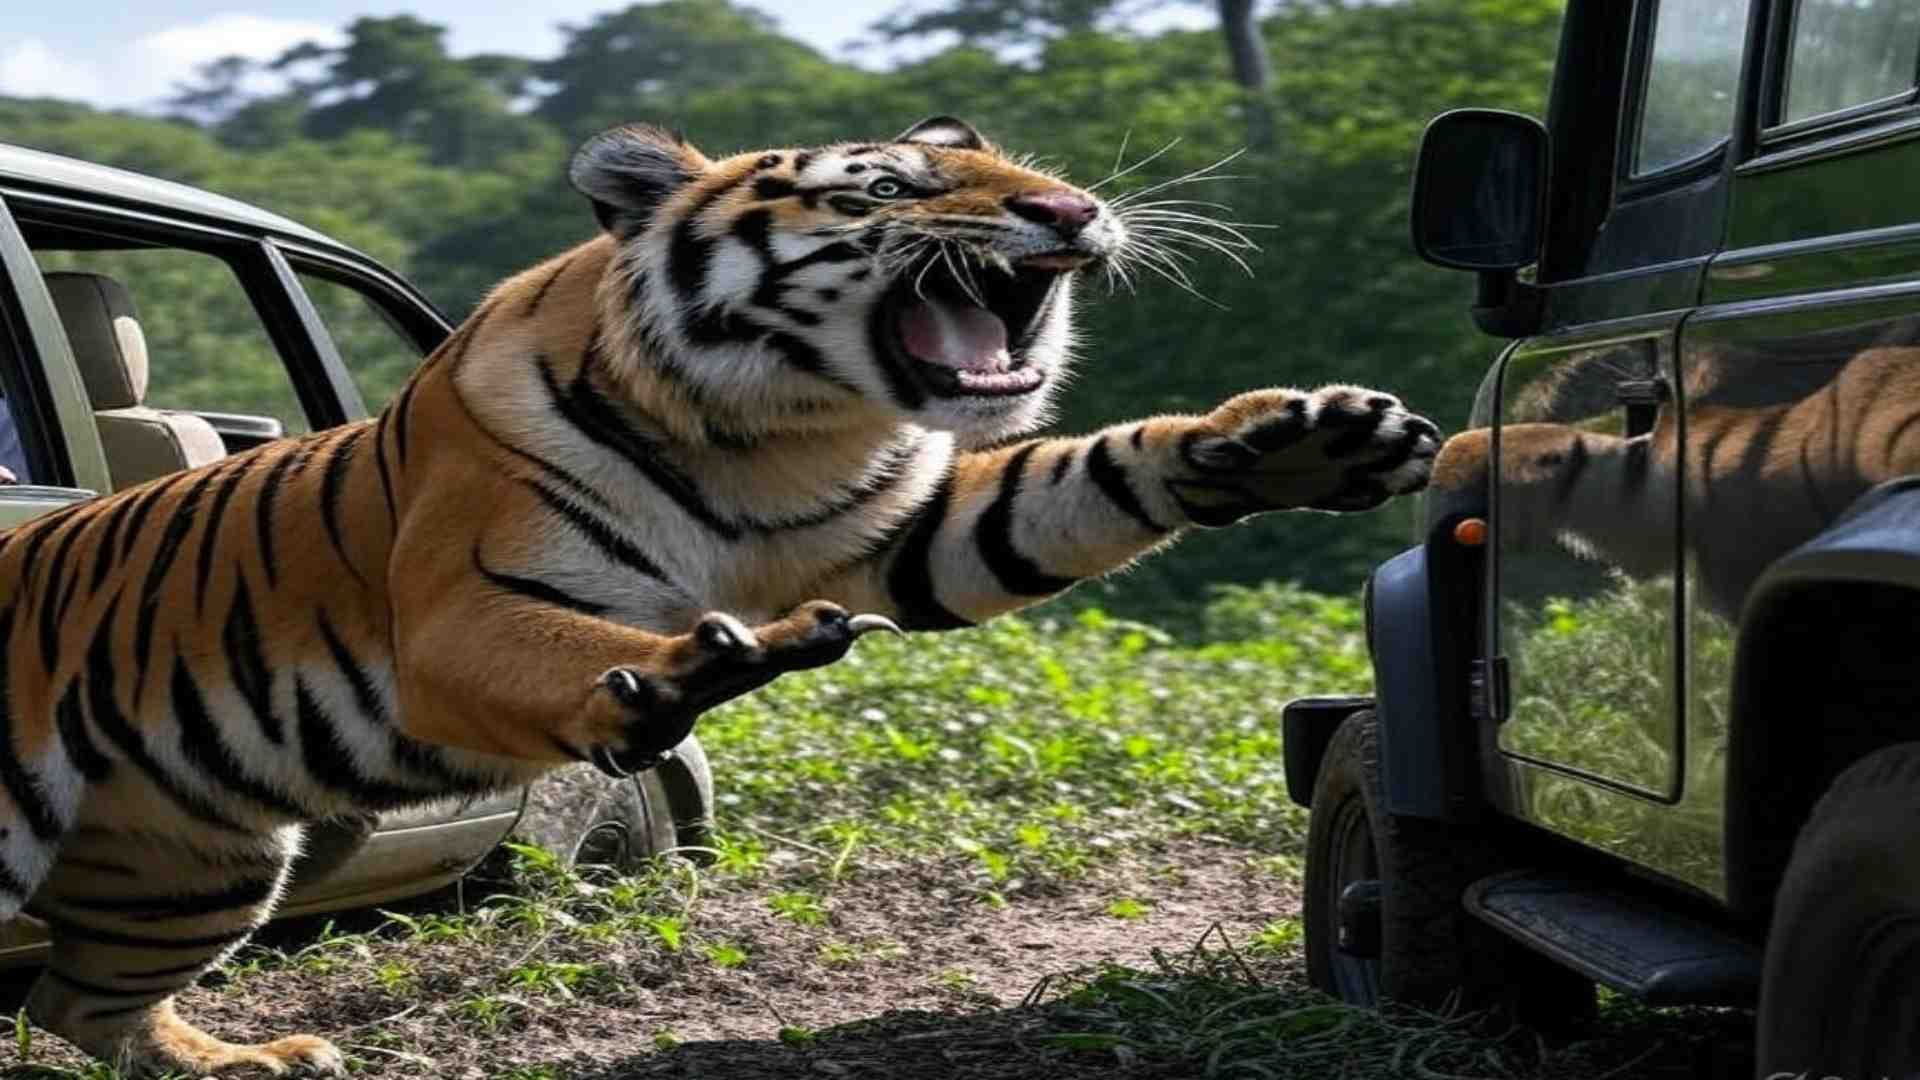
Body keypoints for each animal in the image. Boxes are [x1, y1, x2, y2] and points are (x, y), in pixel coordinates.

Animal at [2, 115, 1438, 1076]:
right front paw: (688, 668)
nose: (1075, 214)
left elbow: (1080, 476)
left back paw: (247, 1060)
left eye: (1025, 172)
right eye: (888, 187)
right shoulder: (458, 617)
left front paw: (1307, 441)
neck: (778, 430)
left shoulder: (926, 529)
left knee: (78, 1001)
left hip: (192, 860)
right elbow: (576, 656)